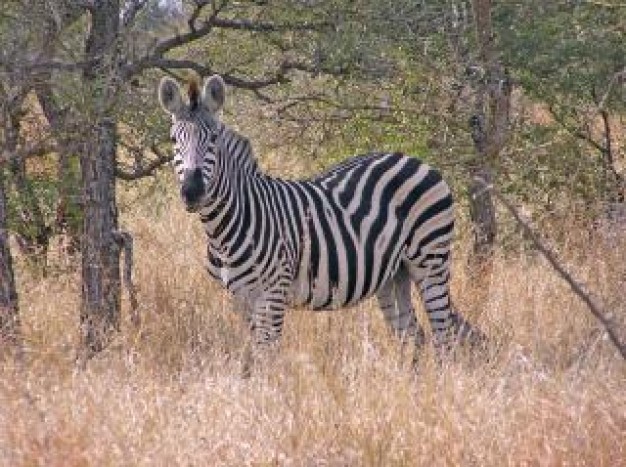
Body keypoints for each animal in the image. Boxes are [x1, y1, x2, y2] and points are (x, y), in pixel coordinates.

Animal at [156, 74, 478, 366]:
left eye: (213, 139)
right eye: (173, 140)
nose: (192, 191)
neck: (225, 228)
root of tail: (416, 160)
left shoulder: (273, 293)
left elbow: (266, 357)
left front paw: (270, 393)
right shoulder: (240, 298)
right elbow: (254, 357)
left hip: (430, 260)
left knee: (443, 337)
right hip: (394, 274)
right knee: (413, 335)